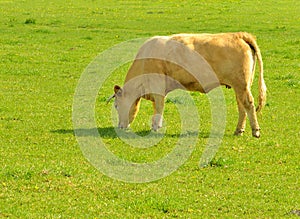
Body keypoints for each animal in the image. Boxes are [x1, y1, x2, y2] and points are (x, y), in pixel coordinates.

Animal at [108, 31, 268, 138]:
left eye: (116, 105)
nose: (120, 127)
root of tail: (238, 35)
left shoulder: (158, 86)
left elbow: (159, 106)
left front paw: (155, 127)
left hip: (241, 85)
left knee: (248, 104)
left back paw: (255, 131)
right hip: (240, 86)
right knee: (242, 106)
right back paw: (239, 130)